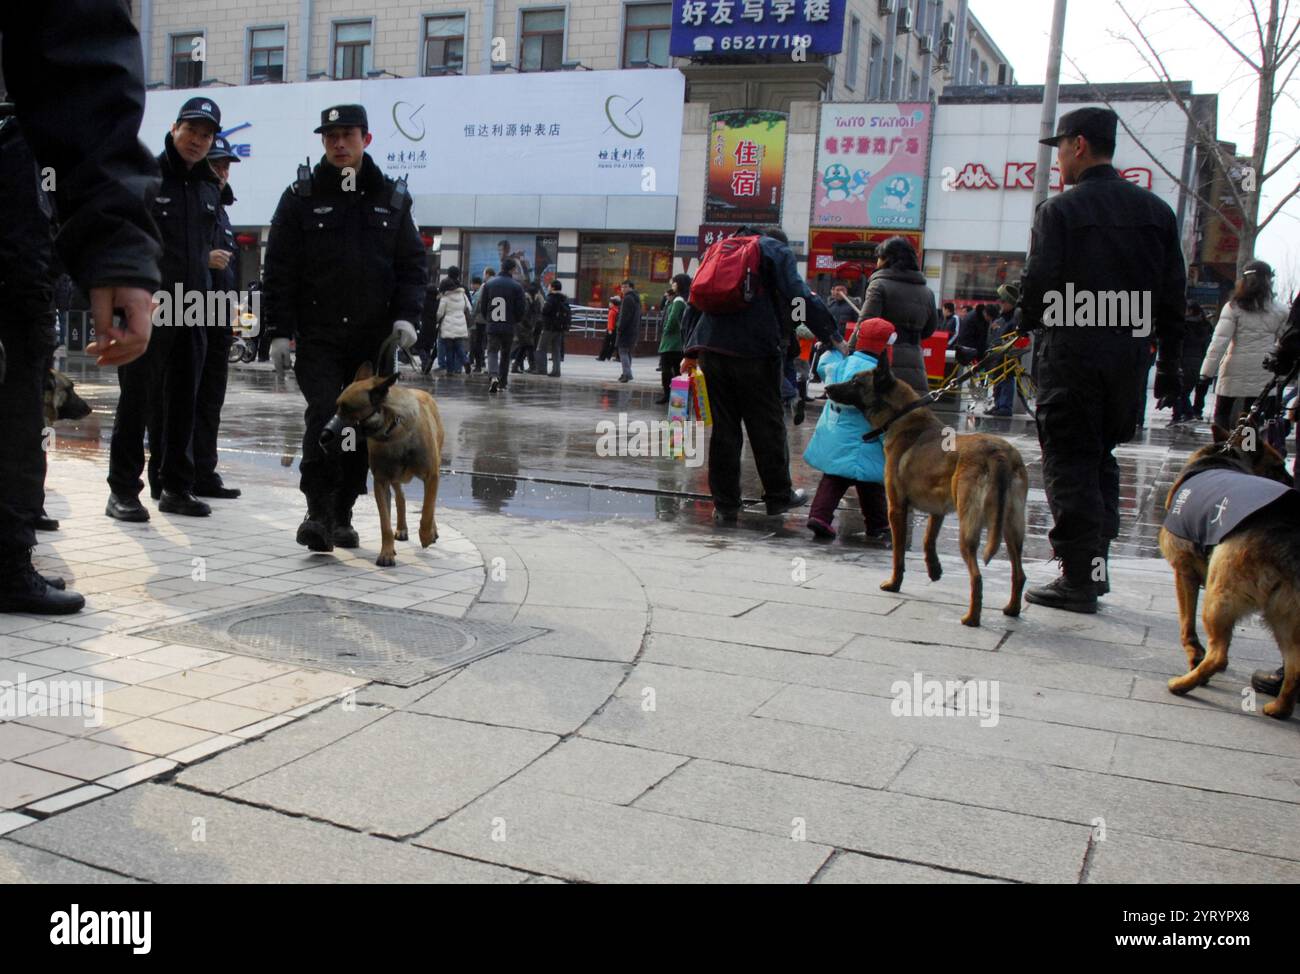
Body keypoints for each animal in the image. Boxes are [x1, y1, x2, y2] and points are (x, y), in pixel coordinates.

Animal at [323, 345, 447, 566]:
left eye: (348, 409)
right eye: (337, 406)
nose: (324, 435)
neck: (393, 430)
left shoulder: (432, 475)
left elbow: (427, 509)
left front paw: (426, 534)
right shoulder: (381, 482)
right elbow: (385, 523)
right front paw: (387, 552)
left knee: (429, 505)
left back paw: (431, 531)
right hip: (395, 478)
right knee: (401, 497)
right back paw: (402, 528)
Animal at [826, 356, 1029, 624]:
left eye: (855, 381)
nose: (827, 388)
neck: (902, 417)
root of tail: (999, 454)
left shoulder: (896, 508)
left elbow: (898, 553)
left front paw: (894, 583)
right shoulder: (937, 509)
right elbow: (927, 539)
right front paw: (934, 570)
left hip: (969, 526)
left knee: (976, 576)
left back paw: (971, 618)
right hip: (1011, 527)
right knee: (1019, 573)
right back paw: (1012, 609)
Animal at [1159, 426, 1300, 712]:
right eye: (1279, 466)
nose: (1292, 481)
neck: (1224, 457)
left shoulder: (1183, 571)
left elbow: (1186, 627)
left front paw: (1194, 657)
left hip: (1218, 596)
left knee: (1219, 656)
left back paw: (1182, 685)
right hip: (1284, 615)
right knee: (1296, 668)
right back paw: (1279, 709)